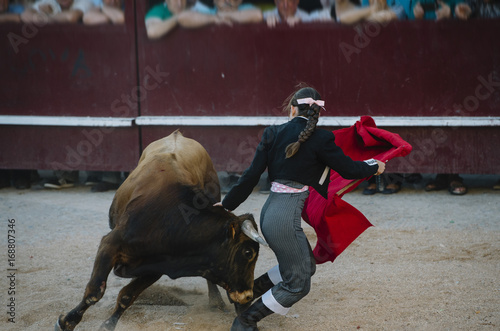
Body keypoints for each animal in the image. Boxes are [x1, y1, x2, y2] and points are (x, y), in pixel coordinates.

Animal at [55, 131, 266, 331]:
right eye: (248, 252)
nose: (248, 296)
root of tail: (178, 135)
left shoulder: (156, 266)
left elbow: (127, 296)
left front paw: (108, 325)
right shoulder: (110, 245)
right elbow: (95, 291)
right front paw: (67, 322)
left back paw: (216, 301)